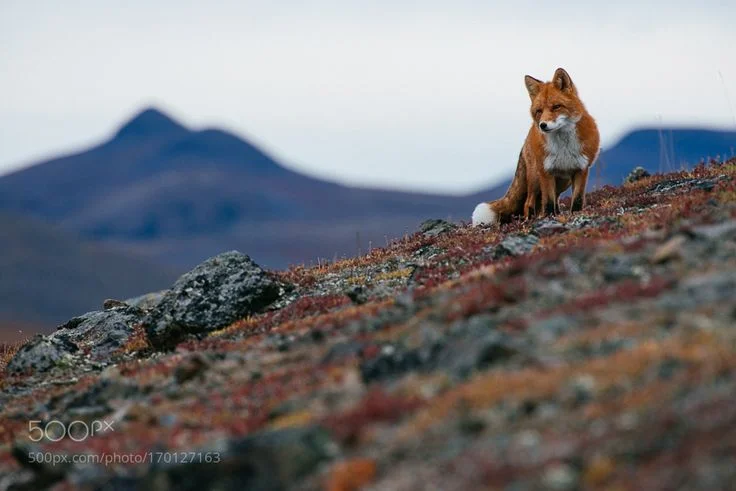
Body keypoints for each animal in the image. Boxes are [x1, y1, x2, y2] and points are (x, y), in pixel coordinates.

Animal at [472, 68, 600, 227]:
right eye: (539, 111)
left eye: (556, 107)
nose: (542, 125)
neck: (563, 146)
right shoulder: (546, 171)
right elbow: (549, 202)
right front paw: (550, 218)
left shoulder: (581, 169)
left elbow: (577, 200)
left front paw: (575, 215)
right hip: (535, 179)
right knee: (529, 203)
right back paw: (530, 220)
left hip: (563, 181)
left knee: (552, 199)